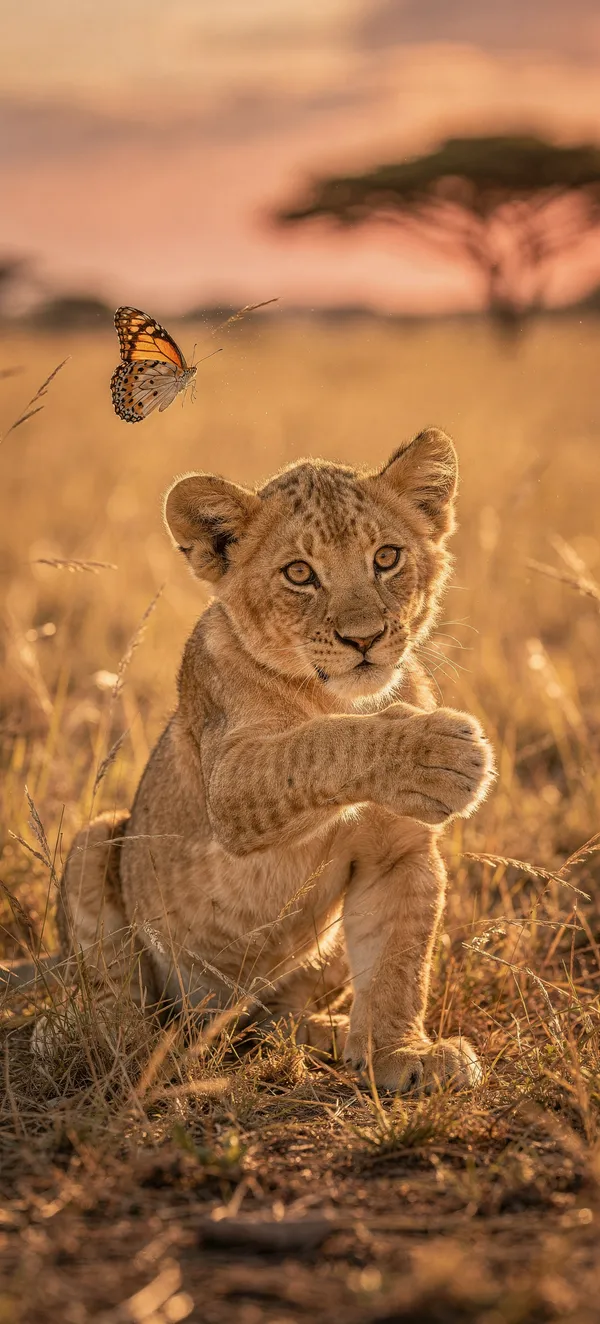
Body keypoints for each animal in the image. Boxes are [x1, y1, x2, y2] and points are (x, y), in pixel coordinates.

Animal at [26, 428, 495, 1090]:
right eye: (299, 573)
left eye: (386, 558)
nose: (365, 638)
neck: (338, 696)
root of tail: (214, 1018)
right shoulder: (229, 781)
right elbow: (317, 743)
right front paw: (438, 754)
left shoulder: (397, 857)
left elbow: (399, 965)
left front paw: (398, 1054)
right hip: (99, 841)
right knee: (116, 998)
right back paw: (102, 1037)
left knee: (272, 1021)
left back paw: (326, 1033)